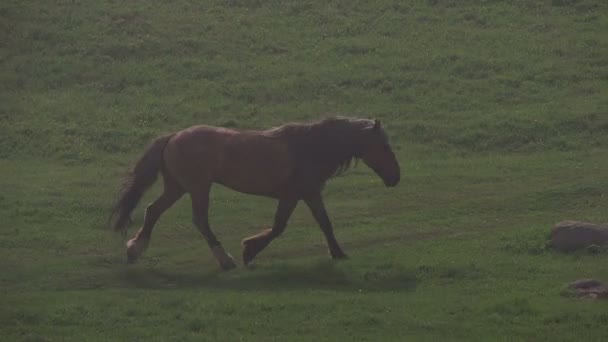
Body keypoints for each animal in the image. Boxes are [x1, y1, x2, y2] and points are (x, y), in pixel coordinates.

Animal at [111, 117, 402, 270]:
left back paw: (134, 250)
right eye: (384, 146)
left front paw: (339, 253)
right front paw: (249, 250)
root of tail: (173, 137)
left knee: (153, 210)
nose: (396, 177)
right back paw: (226, 260)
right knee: (200, 220)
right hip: (197, 188)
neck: (310, 147)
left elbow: (325, 223)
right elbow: (278, 227)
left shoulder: (310, 193)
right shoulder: (291, 194)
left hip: (177, 187)